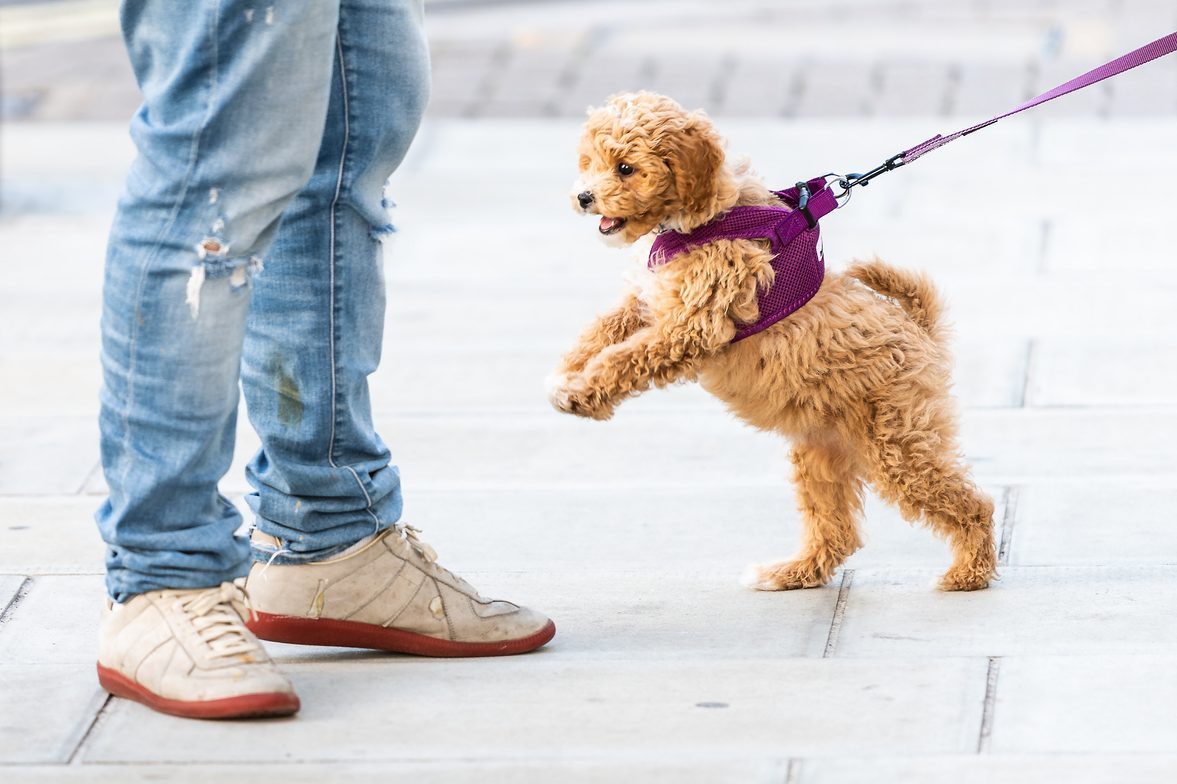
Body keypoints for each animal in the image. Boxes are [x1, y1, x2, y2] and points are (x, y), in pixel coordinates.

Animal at [548, 91, 993, 588]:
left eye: (625, 167)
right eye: (590, 161)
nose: (583, 197)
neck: (708, 218)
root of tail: (919, 329)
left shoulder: (691, 328)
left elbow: (627, 357)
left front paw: (581, 393)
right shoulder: (653, 303)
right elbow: (607, 328)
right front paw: (569, 371)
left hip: (898, 443)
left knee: (973, 504)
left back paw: (969, 572)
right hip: (822, 451)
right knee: (836, 530)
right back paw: (794, 572)